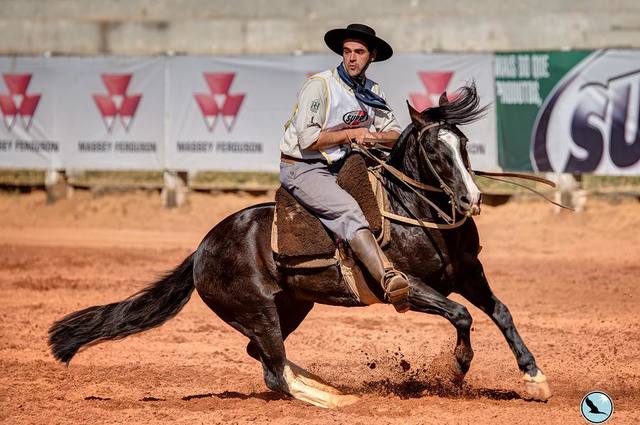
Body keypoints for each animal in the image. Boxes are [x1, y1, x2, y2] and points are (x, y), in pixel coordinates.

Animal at [50, 85, 552, 408]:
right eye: (435, 151)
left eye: (463, 144)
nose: (472, 199)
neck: (413, 208)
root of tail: (202, 250)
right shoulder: (407, 287)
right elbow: (463, 315)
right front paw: (457, 368)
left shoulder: (468, 273)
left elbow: (501, 312)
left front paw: (534, 377)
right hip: (256, 311)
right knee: (272, 370)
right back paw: (332, 401)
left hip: (291, 306)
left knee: (262, 357)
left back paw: (328, 387)